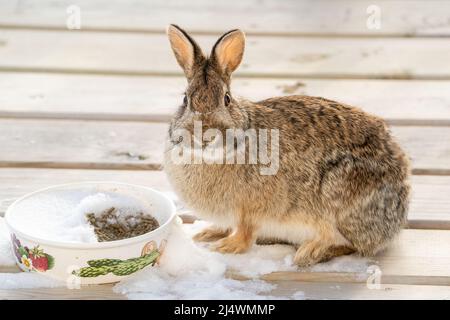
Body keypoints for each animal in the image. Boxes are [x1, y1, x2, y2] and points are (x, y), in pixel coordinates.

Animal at [163, 25, 410, 266]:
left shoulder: (252, 209)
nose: (204, 135)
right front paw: (207, 234)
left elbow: (245, 231)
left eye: (227, 99)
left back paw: (310, 253)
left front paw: (226, 247)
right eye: (185, 100)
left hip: (338, 195)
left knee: (349, 243)